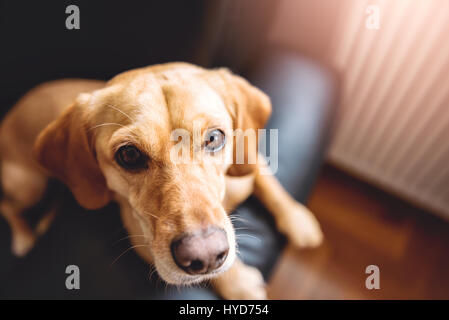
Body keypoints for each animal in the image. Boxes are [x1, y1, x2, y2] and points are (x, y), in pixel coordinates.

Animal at [0, 63, 322, 300]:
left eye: (214, 137)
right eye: (129, 154)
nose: (205, 256)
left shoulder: (251, 161)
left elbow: (269, 182)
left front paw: (296, 218)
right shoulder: (143, 241)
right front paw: (238, 281)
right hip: (29, 185)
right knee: (8, 206)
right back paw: (24, 238)